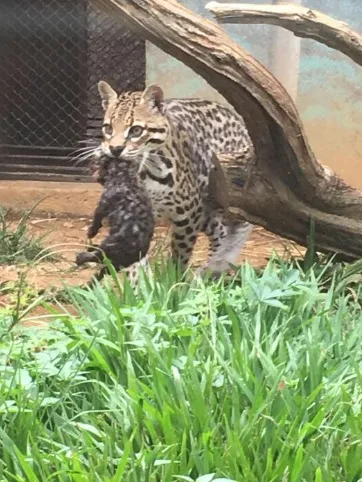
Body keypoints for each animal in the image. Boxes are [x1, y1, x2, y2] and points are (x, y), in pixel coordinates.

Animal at [75, 153, 155, 282]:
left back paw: (82, 256)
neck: (124, 174)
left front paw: (91, 232)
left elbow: (96, 220)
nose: (89, 162)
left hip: (110, 246)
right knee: (101, 271)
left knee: (98, 257)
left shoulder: (102, 205)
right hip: (114, 263)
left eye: (98, 160)